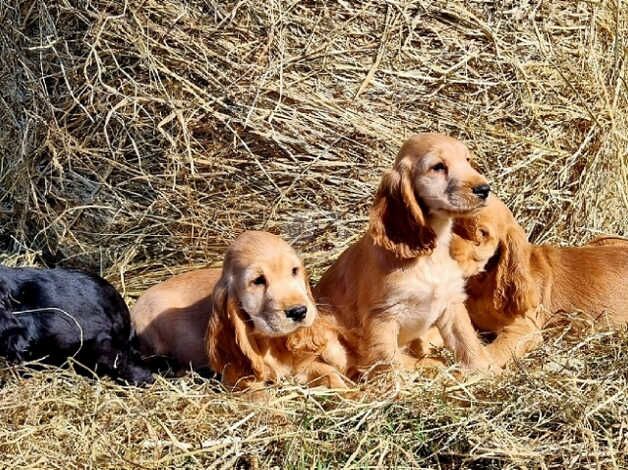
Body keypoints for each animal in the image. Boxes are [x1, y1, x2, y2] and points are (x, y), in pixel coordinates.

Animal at [206, 230, 354, 390]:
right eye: (258, 280)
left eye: (294, 271)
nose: (299, 312)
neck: (273, 342)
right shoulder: (239, 379)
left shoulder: (304, 365)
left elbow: (329, 374)